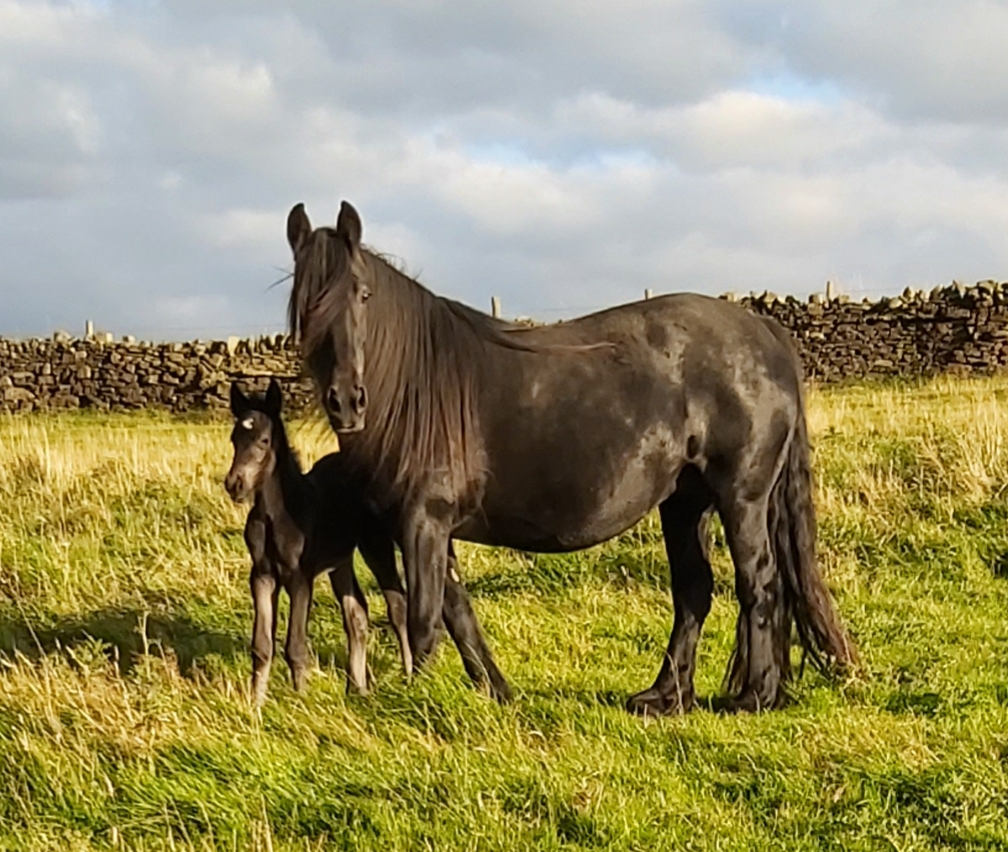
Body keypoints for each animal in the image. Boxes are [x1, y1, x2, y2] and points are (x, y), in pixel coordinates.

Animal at [227, 379, 512, 705]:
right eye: (234, 438)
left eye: (263, 440)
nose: (234, 485)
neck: (276, 513)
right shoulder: (261, 575)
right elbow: (261, 645)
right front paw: (256, 705)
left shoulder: (299, 577)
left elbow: (295, 645)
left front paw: (301, 701)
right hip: (340, 561)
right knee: (356, 614)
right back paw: (357, 687)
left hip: (376, 545)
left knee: (397, 607)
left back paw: (407, 676)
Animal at [286, 199, 858, 709]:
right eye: (301, 301)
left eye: (362, 293)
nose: (345, 401)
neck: (416, 386)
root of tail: (764, 330)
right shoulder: (430, 527)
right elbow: (456, 610)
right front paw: (496, 693)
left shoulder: (424, 520)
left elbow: (425, 620)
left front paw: (415, 700)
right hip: (683, 502)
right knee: (694, 589)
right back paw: (665, 697)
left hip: (742, 498)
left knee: (759, 584)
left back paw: (754, 696)